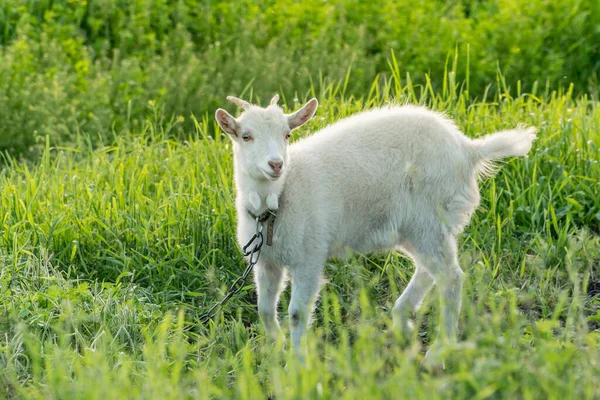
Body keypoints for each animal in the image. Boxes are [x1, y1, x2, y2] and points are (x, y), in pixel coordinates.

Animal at [214, 94, 536, 366]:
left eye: (287, 135)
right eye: (246, 136)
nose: (276, 164)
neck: (278, 200)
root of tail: (467, 149)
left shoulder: (309, 257)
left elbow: (296, 313)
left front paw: (299, 364)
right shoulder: (267, 261)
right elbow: (265, 308)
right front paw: (276, 345)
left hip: (428, 219)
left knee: (450, 277)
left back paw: (437, 352)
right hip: (415, 228)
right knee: (429, 269)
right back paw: (402, 320)